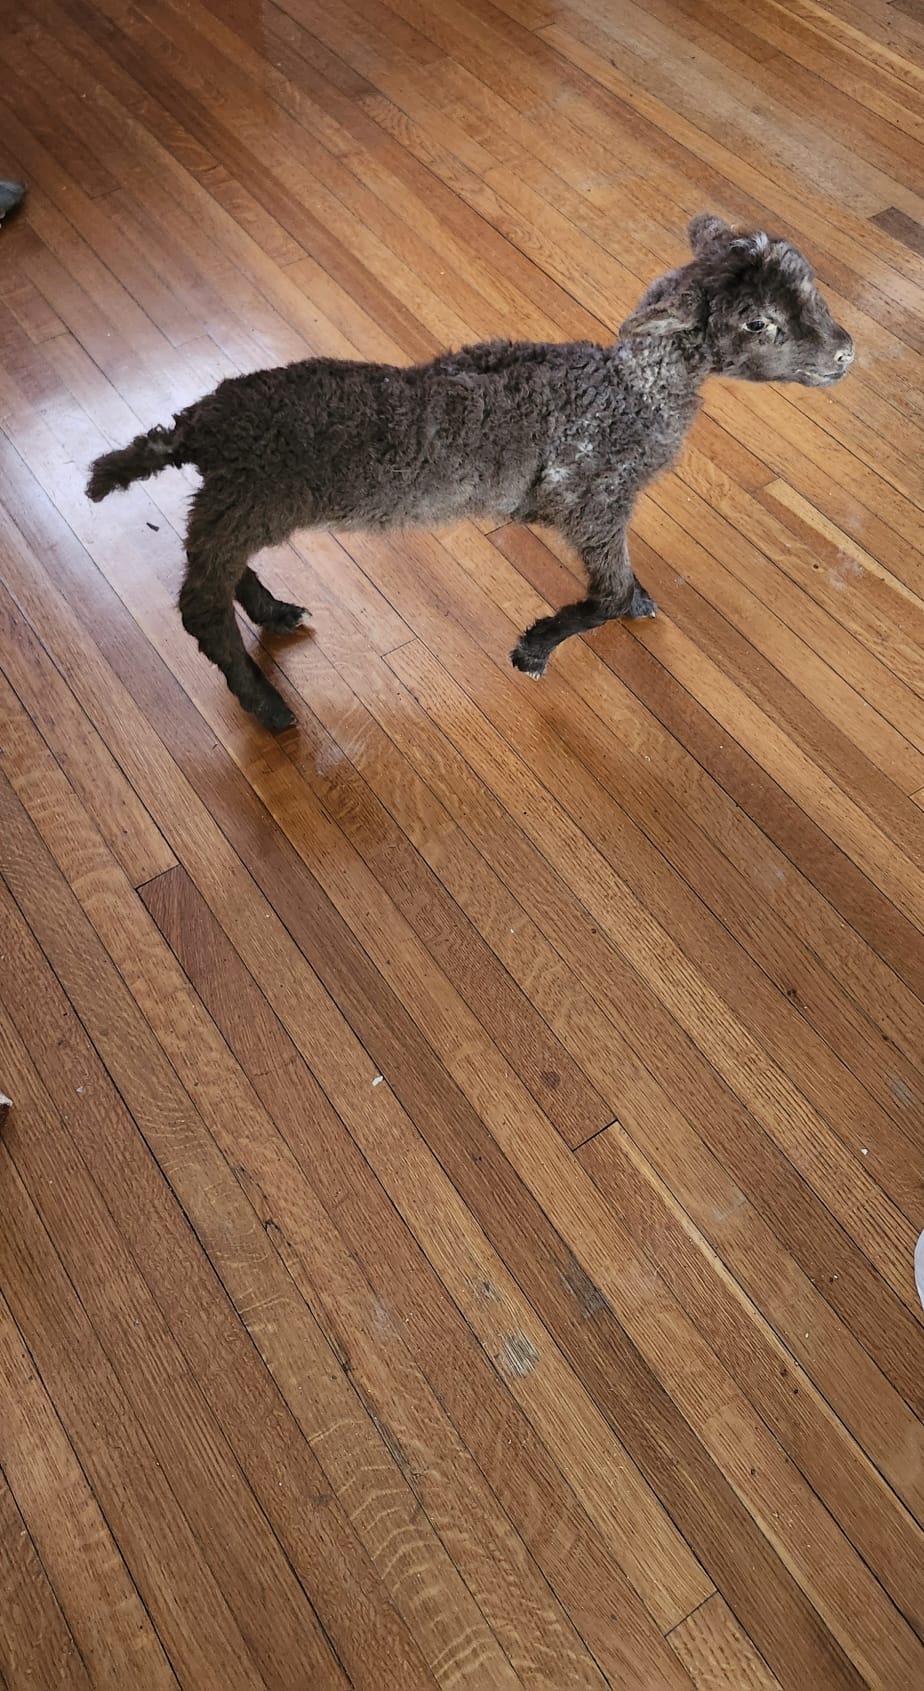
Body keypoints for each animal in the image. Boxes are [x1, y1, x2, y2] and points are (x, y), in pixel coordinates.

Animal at [86, 214, 854, 730]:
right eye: (757, 323)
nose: (846, 352)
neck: (632, 390)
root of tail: (201, 424)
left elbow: (619, 589)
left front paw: (634, 601)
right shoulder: (596, 503)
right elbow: (602, 598)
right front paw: (537, 647)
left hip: (235, 502)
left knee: (218, 571)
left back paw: (275, 614)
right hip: (252, 496)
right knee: (200, 605)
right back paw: (267, 705)